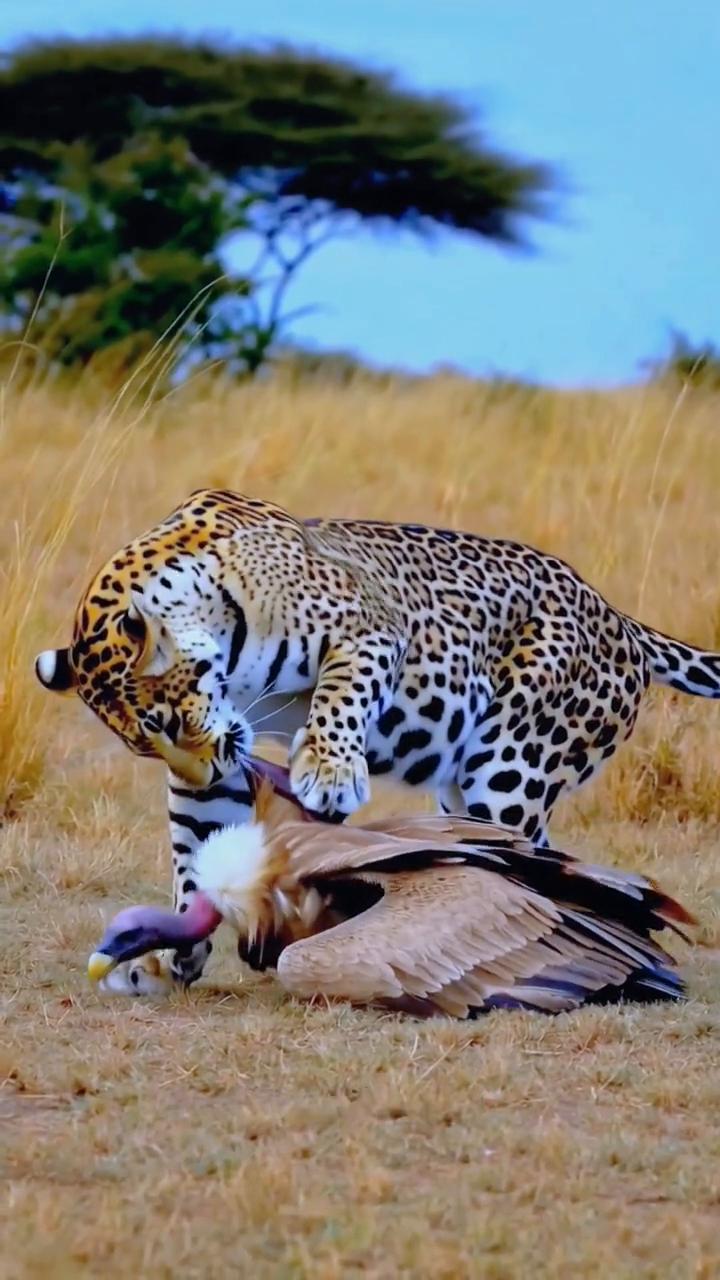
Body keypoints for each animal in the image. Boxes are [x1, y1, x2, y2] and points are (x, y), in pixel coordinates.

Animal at [35, 483, 720, 993]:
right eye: (145, 746)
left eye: (166, 723)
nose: (208, 767)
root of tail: (618, 616)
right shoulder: (219, 765)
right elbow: (195, 845)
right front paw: (175, 952)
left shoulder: (367, 629)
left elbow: (342, 695)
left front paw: (330, 770)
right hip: (466, 792)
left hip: (511, 767)